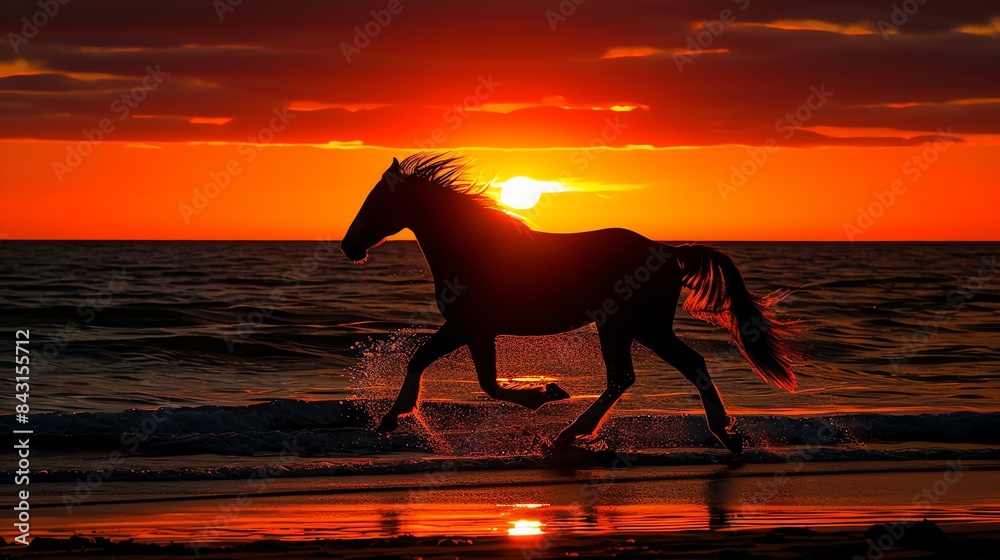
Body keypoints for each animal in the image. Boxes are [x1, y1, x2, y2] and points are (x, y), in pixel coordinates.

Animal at [341, 153, 798, 455]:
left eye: (377, 201)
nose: (348, 246)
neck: (472, 248)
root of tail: (670, 251)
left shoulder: (474, 327)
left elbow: (482, 381)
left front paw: (547, 393)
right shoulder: (465, 328)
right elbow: (423, 360)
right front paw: (390, 418)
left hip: (628, 325)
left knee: (634, 375)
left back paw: (572, 434)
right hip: (638, 328)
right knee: (666, 369)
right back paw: (724, 436)